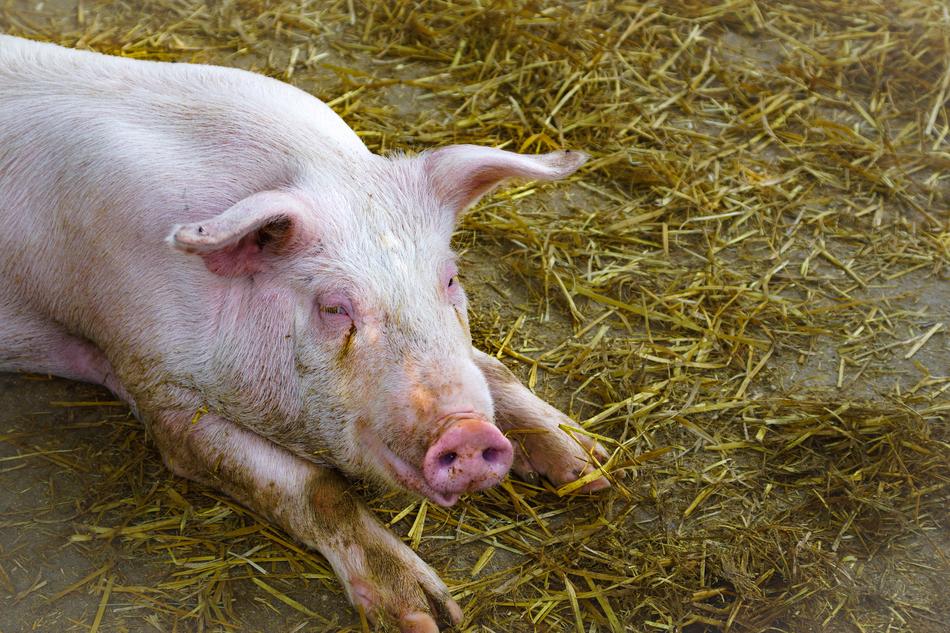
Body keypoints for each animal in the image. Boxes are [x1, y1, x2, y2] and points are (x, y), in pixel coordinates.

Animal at [0, 34, 609, 631]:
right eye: (334, 307)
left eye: (451, 278)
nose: (467, 431)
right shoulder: (150, 382)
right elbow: (314, 487)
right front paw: (429, 614)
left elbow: (491, 366)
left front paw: (594, 467)